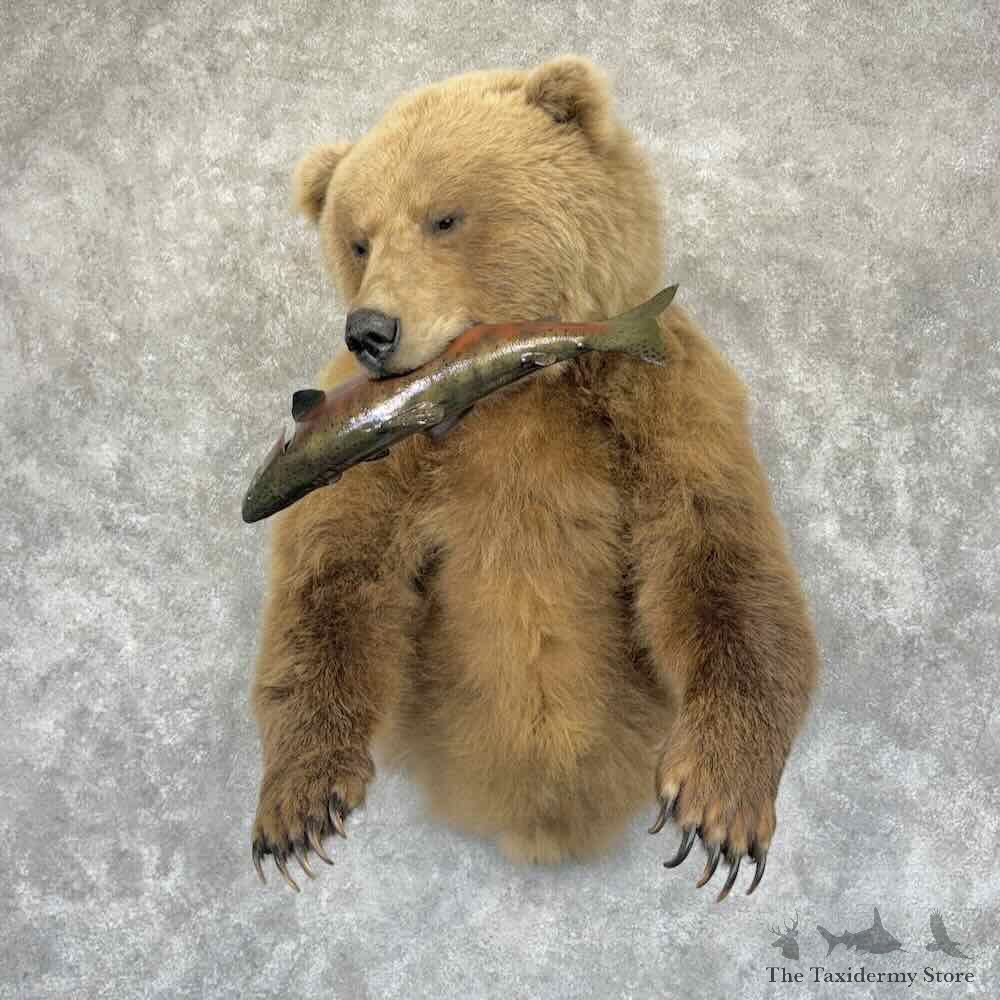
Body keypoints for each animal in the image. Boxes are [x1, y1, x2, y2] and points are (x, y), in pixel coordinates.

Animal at [249, 55, 819, 896]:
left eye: (444, 218)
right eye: (357, 241)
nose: (370, 331)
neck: (512, 390)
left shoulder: (661, 404)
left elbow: (717, 559)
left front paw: (716, 810)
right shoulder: (378, 453)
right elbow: (335, 580)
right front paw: (297, 813)